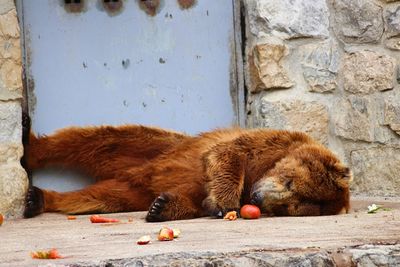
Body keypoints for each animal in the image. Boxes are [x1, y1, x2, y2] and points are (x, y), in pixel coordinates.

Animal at [23, 125, 352, 222]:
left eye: (290, 207)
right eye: (289, 181)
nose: (257, 199)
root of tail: (137, 173)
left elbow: (195, 200)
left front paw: (162, 207)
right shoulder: (266, 142)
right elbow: (226, 155)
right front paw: (225, 203)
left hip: (131, 187)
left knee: (102, 197)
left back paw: (38, 199)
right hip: (154, 146)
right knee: (98, 140)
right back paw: (31, 147)